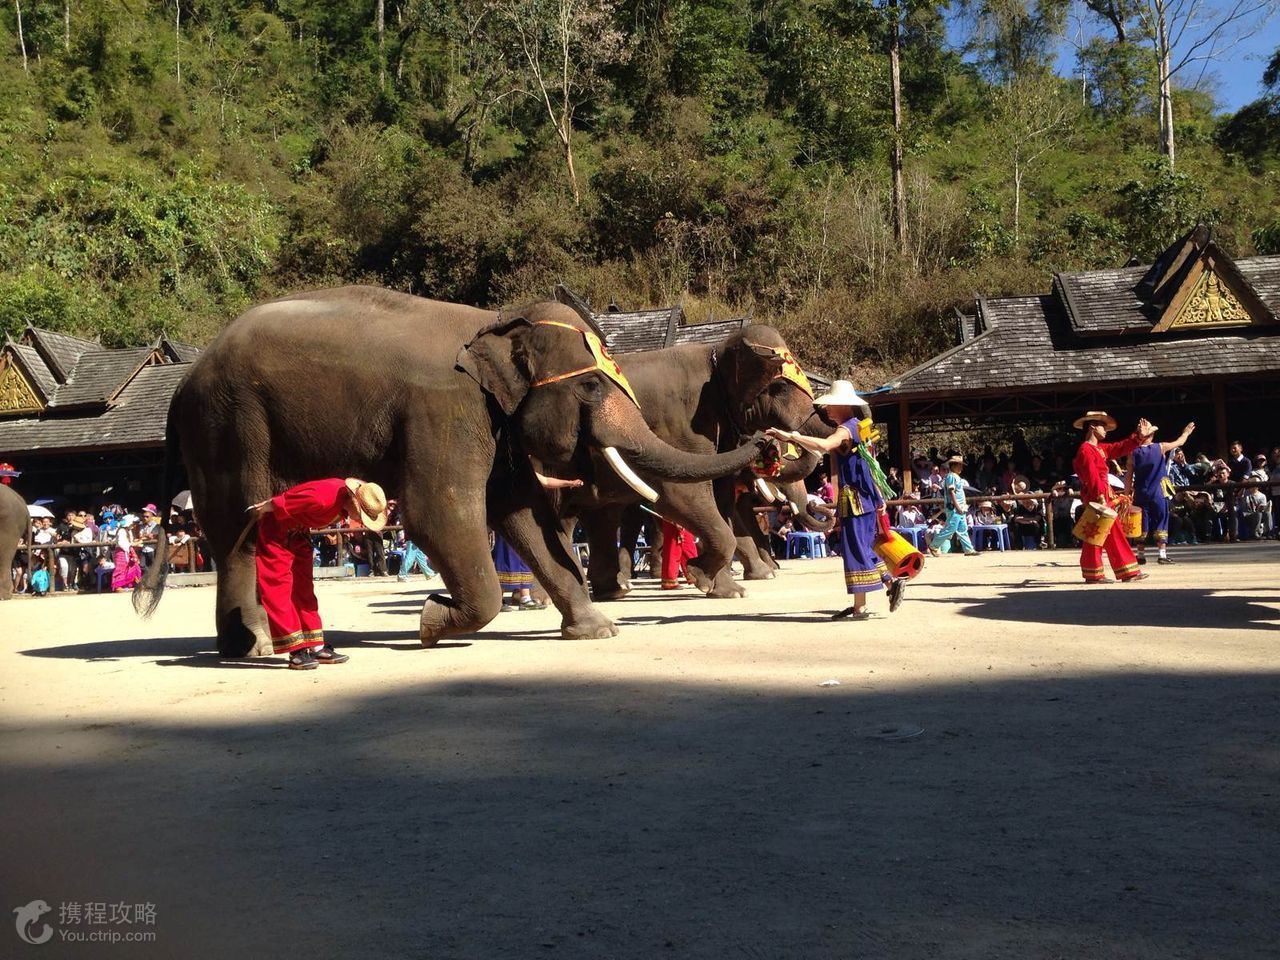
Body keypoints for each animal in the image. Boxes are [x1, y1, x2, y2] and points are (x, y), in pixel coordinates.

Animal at [135, 285, 762, 660]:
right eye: (589, 385)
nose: (760, 438)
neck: (497, 322)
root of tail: (183, 382)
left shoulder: (496, 421)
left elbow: (525, 514)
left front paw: (594, 629)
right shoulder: (446, 410)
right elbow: (441, 514)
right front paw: (431, 623)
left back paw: (251, 645)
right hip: (228, 427)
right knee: (236, 533)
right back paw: (257, 648)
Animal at [563, 330, 839, 601]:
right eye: (780, 387)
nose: (768, 439)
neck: (715, 351)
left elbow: (723, 500)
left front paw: (731, 591)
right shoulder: (683, 421)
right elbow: (683, 490)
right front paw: (702, 577)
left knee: (604, 514)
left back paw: (614, 589)